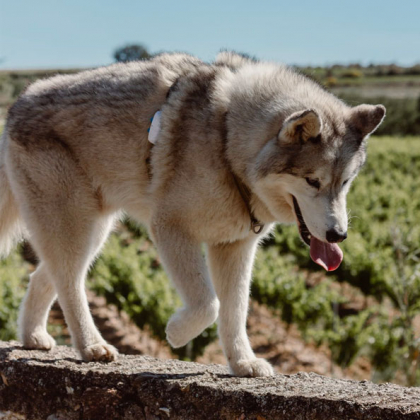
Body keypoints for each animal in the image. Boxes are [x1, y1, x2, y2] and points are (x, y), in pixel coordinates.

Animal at [0, 52, 386, 378]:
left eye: (345, 182)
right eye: (312, 181)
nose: (339, 235)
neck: (228, 141)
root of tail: (19, 101)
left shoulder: (235, 247)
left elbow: (235, 312)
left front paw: (242, 363)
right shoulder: (170, 229)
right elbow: (208, 305)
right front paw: (176, 332)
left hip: (93, 232)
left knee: (45, 277)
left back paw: (34, 337)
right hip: (77, 228)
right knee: (70, 283)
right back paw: (91, 346)